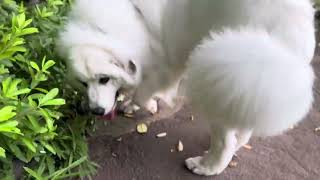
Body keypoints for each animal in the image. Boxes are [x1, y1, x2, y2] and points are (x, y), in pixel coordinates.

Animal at [57, 0, 316, 176]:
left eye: (104, 79)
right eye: (84, 83)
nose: (96, 111)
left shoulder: (162, 65)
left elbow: (143, 91)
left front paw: (144, 104)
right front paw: (132, 103)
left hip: (226, 80)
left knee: (224, 142)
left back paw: (205, 166)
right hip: (249, 90)